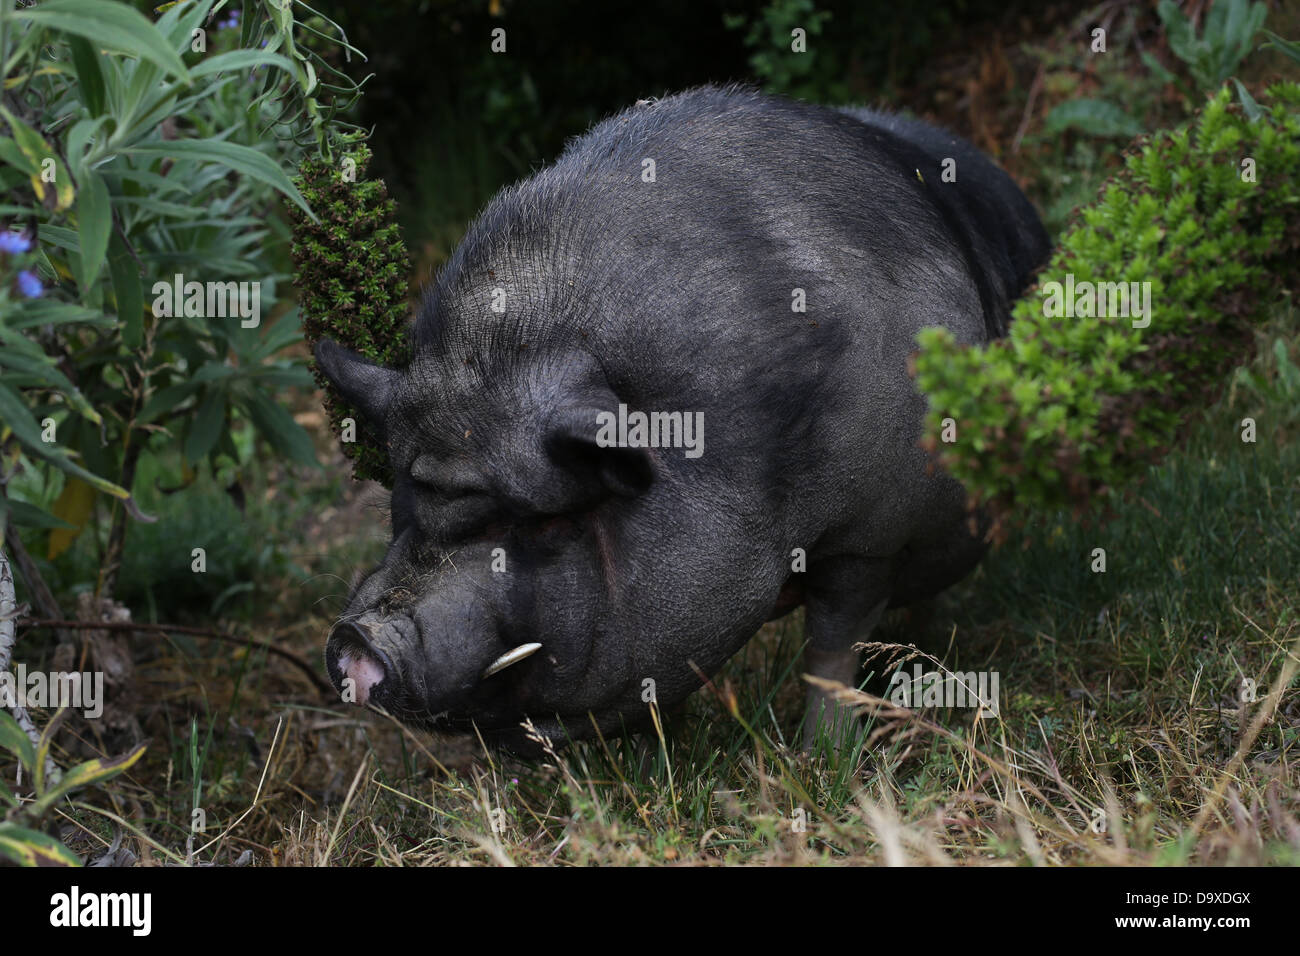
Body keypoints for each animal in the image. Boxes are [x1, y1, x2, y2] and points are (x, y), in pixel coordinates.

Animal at [316, 85, 1050, 753]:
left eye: (544, 524)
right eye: (404, 500)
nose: (358, 640)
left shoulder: (870, 531)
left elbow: (833, 646)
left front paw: (822, 757)